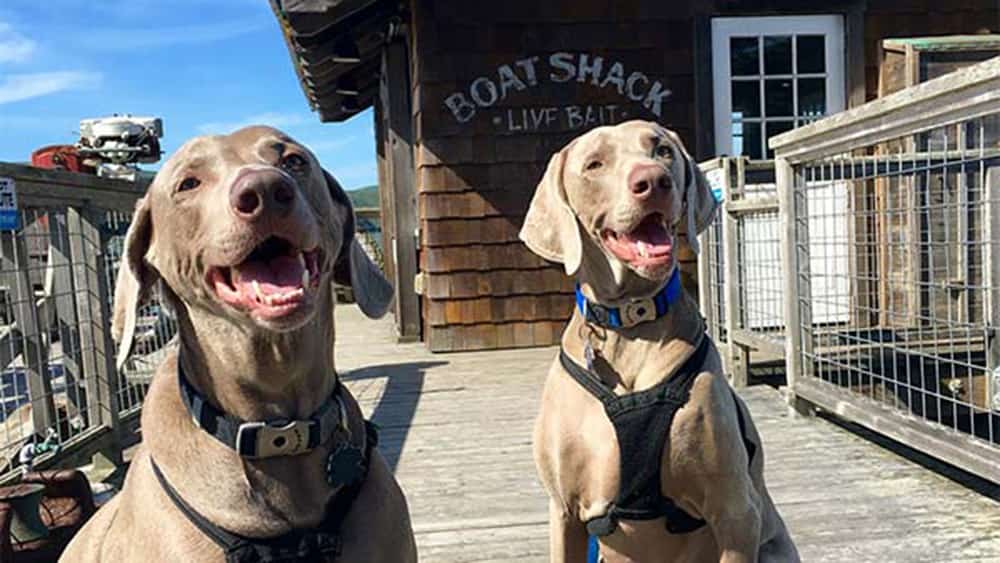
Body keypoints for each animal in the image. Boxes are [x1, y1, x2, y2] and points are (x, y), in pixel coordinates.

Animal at [520, 121, 800, 560]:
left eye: (663, 150)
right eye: (595, 163)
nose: (653, 181)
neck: (630, 324)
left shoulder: (735, 512)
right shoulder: (564, 511)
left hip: (771, 547)